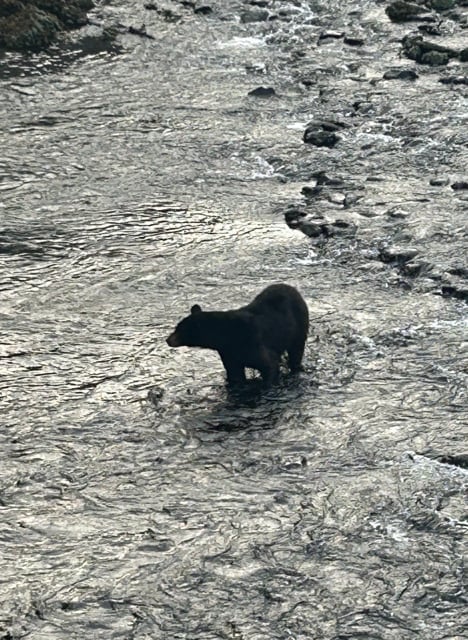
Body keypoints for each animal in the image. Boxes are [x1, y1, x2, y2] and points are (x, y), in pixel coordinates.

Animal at [166, 284, 309, 386]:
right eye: (176, 327)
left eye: (179, 329)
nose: (167, 340)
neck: (228, 336)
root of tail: (292, 288)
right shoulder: (229, 353)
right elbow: (235, 372)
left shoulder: (252, 342)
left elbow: (269, 364)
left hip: (299, 326)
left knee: (296, 349)